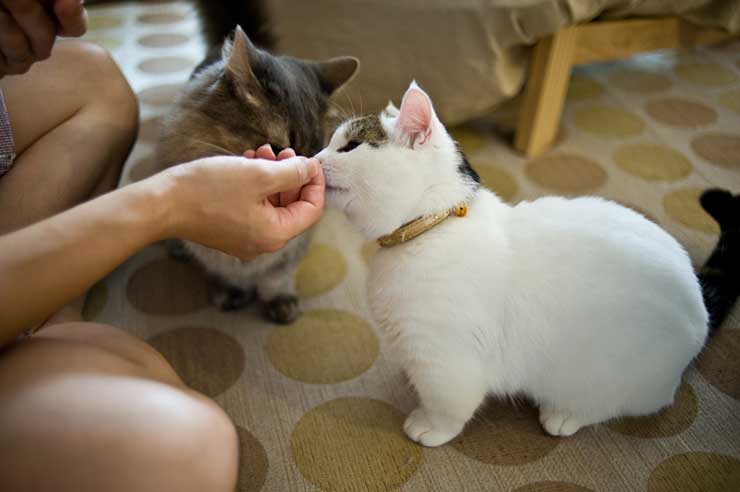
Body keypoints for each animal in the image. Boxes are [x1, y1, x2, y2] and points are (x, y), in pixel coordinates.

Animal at [152, 5, 358, 324]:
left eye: (316, 155)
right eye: (277, 149)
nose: (304, 176)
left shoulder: (293, 246)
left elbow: (275, 276)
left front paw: (279, 300)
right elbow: (222, 270)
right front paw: (231, 291)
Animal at [316, 82, 712, 448]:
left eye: (350, 146)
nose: (314, 158)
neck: (429, 230)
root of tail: (700, 316)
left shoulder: (446, 361)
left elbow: (447, 405)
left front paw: (429, 425)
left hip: (603, 376)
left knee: (615, 404)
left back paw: (563, 415)